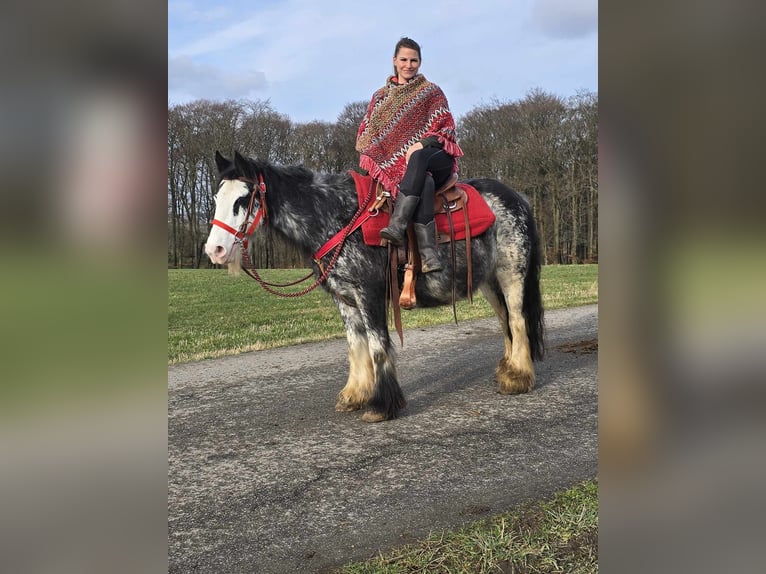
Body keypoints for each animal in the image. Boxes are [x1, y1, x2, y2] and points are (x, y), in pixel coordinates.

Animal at [201, 152, 544, 424]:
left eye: (242, 199)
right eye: (217, 199)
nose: (214, 250)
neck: (339, 219)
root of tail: (518, 198)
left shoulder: (370, 294)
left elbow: (378, 346)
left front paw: (381, 405)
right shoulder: (346, 299)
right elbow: (356, 346)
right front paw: (354, 395)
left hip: (511, 274)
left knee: (517, 320)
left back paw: (519, 378)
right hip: (488, 282)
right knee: (505, 322)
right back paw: (508, 370)